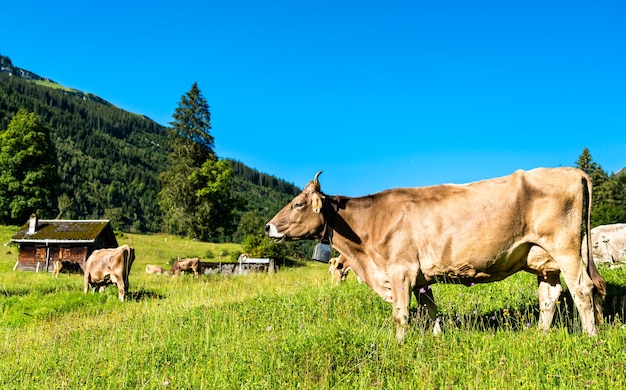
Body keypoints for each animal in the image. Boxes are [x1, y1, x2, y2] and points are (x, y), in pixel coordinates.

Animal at [264, 169, 604, 340]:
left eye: (297, 203)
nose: (268, 227)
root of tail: (571, 170)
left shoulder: (400, 270)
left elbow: (401, 315)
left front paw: (399, 346)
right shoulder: (420, 277)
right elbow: (431, 309)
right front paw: (438, 338)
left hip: (565, 248)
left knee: (582, 290)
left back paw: (590, 337)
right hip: (542, 259)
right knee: (550, 295)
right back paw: (541, 335)